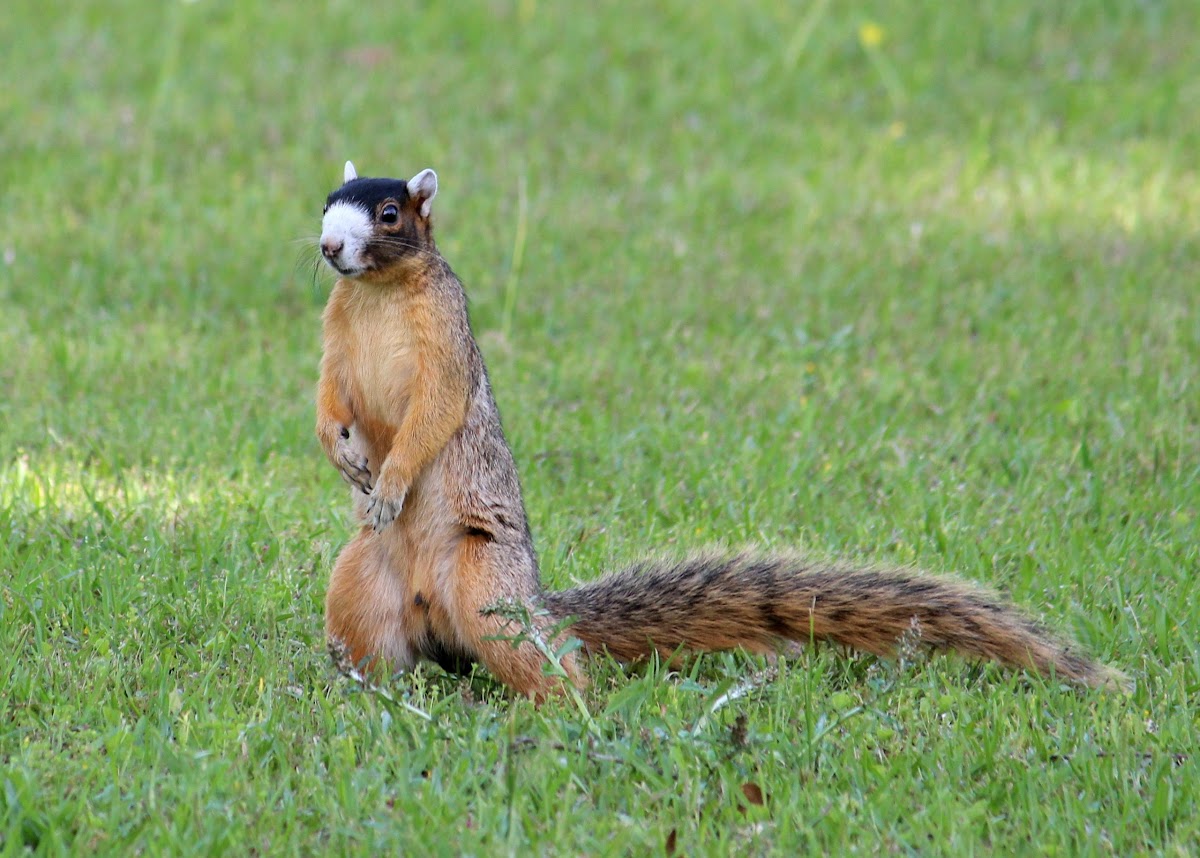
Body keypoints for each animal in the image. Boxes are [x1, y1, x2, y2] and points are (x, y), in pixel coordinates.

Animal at [314, 161, 1129, 701]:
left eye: (388, 214)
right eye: (326, 203)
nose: (327, 247)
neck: (378, 293)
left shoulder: (447, 343)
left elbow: (432, 413)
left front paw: (389, 481)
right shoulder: (334, 337)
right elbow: (327, 396)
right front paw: (340, 452)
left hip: (486, 587)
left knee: (548, 664)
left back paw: (561, 712)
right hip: (360, 585)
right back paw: (363, 691)